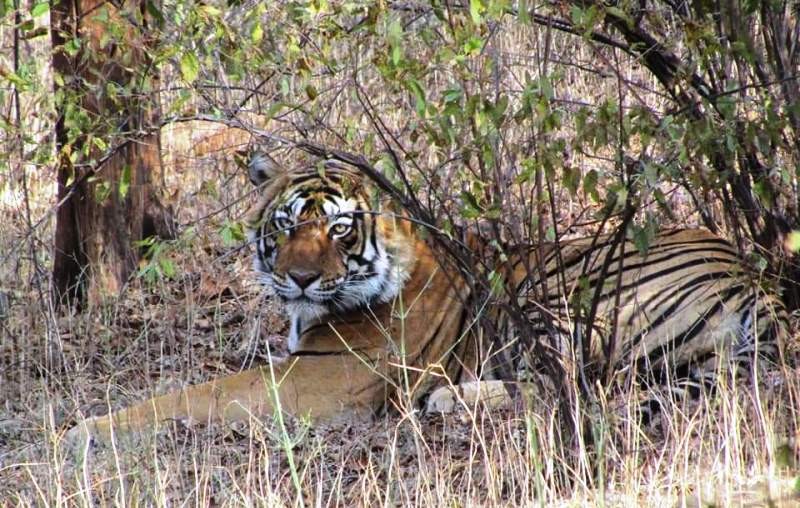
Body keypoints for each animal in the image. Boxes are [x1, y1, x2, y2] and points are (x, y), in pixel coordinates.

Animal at [67, 152, 788, 444]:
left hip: (577, 299)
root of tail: (750, 273)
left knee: (576, 389)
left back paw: (449, 401)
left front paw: (79, 431)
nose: (299, 280)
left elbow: (189, 396)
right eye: (286, 224)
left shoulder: (315, 381)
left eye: (338, 228)